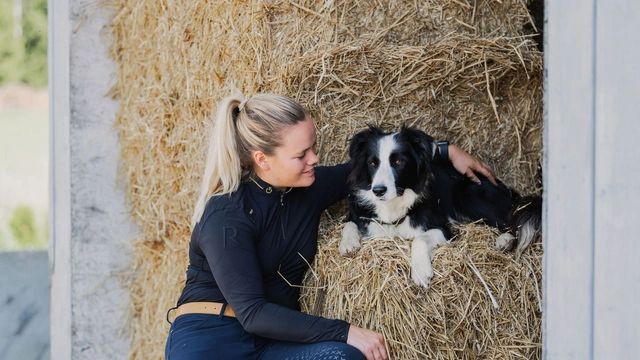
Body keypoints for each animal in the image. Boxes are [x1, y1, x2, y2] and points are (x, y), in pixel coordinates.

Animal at [340, 125, 540, 288]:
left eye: (398, 162)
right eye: (373, 163)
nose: (378, 191)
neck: (394, 205)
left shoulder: (444, 229)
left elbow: (419, 240)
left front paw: (420, 272)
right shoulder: (361, 214)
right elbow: (349, 223)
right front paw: (348, 243)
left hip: (467, 195)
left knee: (510, 220)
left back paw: (504, 241)